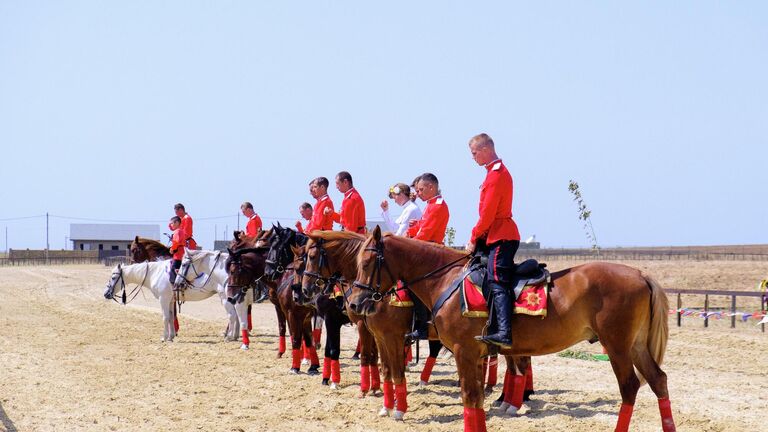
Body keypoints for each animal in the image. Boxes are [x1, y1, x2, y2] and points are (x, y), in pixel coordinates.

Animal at [352, 226, 676, 432]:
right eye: (356, 261)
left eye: (367, 262)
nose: (355, 302)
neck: (447, 281)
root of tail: (641, 273)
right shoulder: (469, 353)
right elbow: (474, 398)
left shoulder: (459, 350)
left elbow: (468, 395)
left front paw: (395, 409)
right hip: (636, 345)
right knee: (658, 381)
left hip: (618, 346)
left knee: (630, 387)